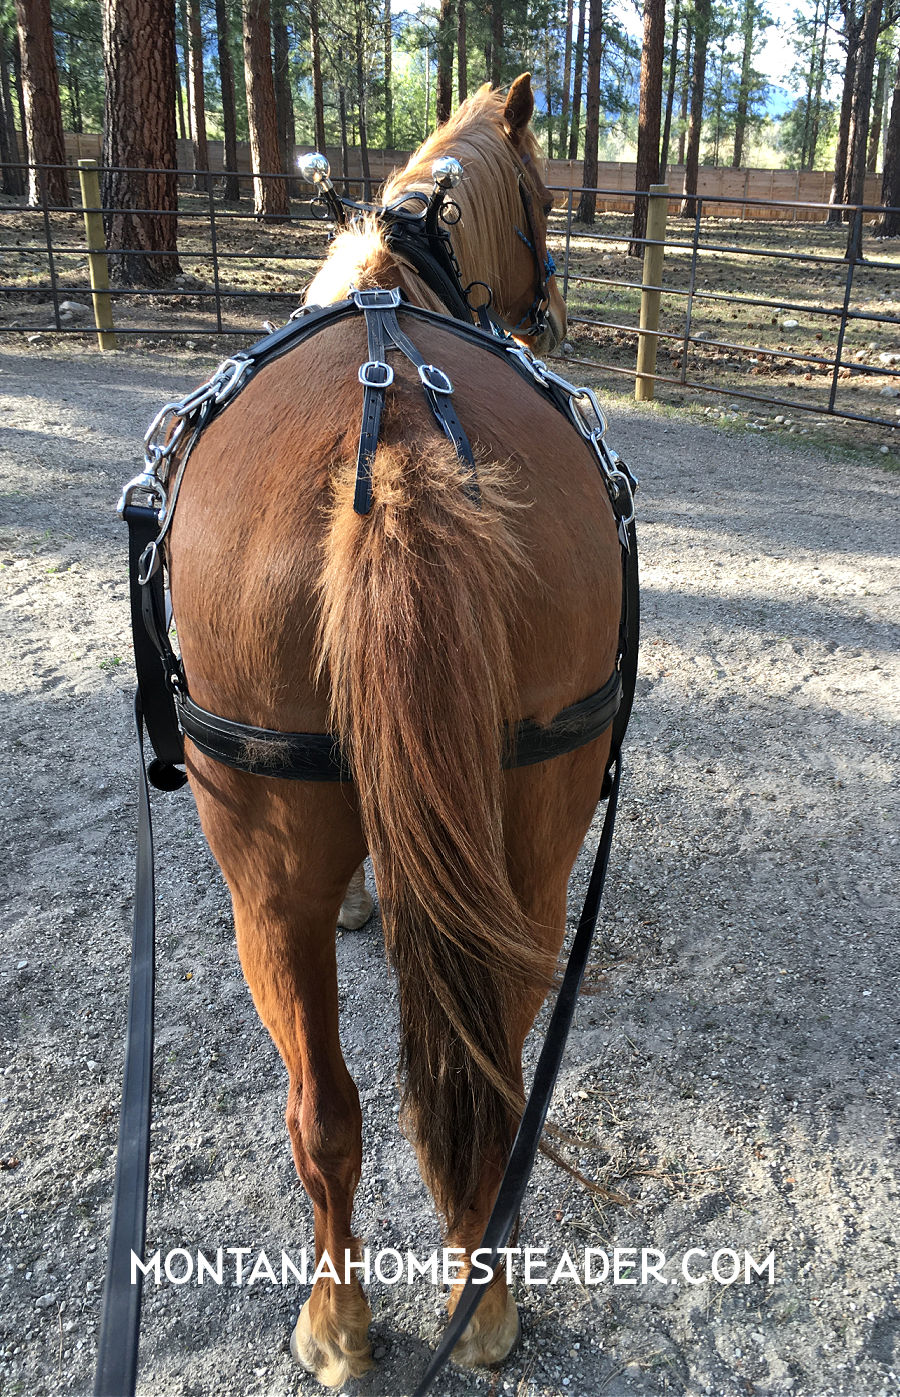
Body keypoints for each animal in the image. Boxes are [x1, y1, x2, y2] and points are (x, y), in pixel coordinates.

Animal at [167, 74, 623, 1387]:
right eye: (544, 200)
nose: (556, 310)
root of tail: (403, 437)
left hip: (267, 878)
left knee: (329, 1104)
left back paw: (340, 1318)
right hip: (522, 850)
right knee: (446, 1084)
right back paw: (472, 1295)